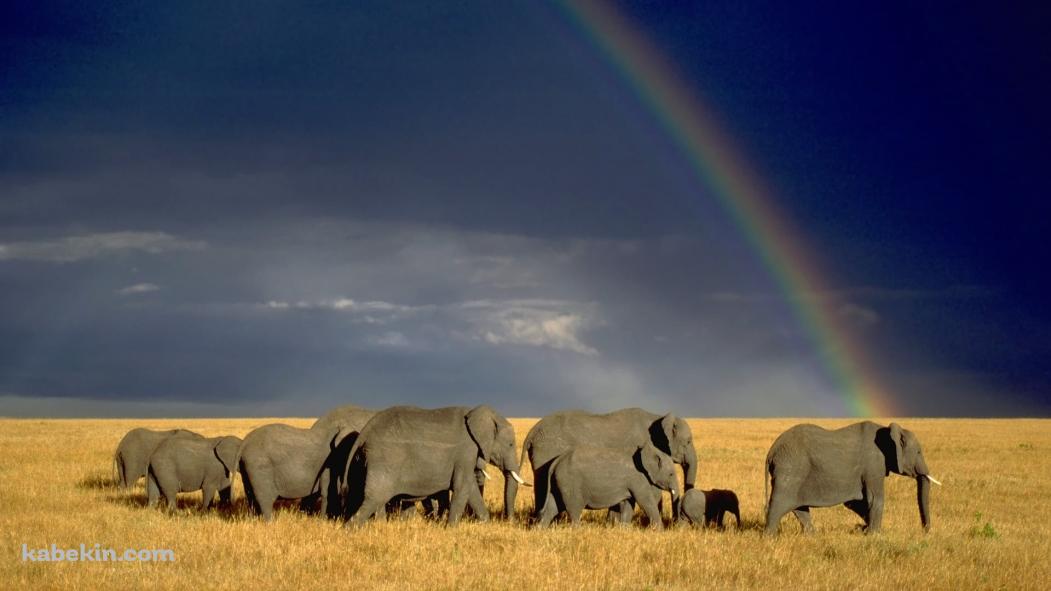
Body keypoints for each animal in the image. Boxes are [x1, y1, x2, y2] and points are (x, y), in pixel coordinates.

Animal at [344, 405, 527, 526]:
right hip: (385, 457)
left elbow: (471, 489)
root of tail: (366, 430)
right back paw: (351, 529)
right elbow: (463, 486)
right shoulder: (466, 452)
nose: (510, 523)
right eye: (510, 444)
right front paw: (450, 528)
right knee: (375, 496)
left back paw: (380, 526)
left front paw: (485, 524)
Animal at [535, 442, 680, 529]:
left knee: (553, 506)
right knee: (574, 509)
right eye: (671, 474)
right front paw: (661, 532)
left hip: (560, 482)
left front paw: (624, 530)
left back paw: (540, 531)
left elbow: (629, 503)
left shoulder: (630, 481)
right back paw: (577, 531)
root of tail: (557, 460)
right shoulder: (638, 478)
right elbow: (646, 501)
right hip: (570, 483)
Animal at [764, 421, 942, 536]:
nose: (926, 531)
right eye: (918, 452)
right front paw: (874, 535)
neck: (887, 431)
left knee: (799, 507)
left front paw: (862, 529)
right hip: (791, 468)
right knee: (779, 503)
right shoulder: (874, 463)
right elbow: (875, 499)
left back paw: (812, 536)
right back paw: (769, 538)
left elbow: (856, 502)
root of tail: (772, 450)